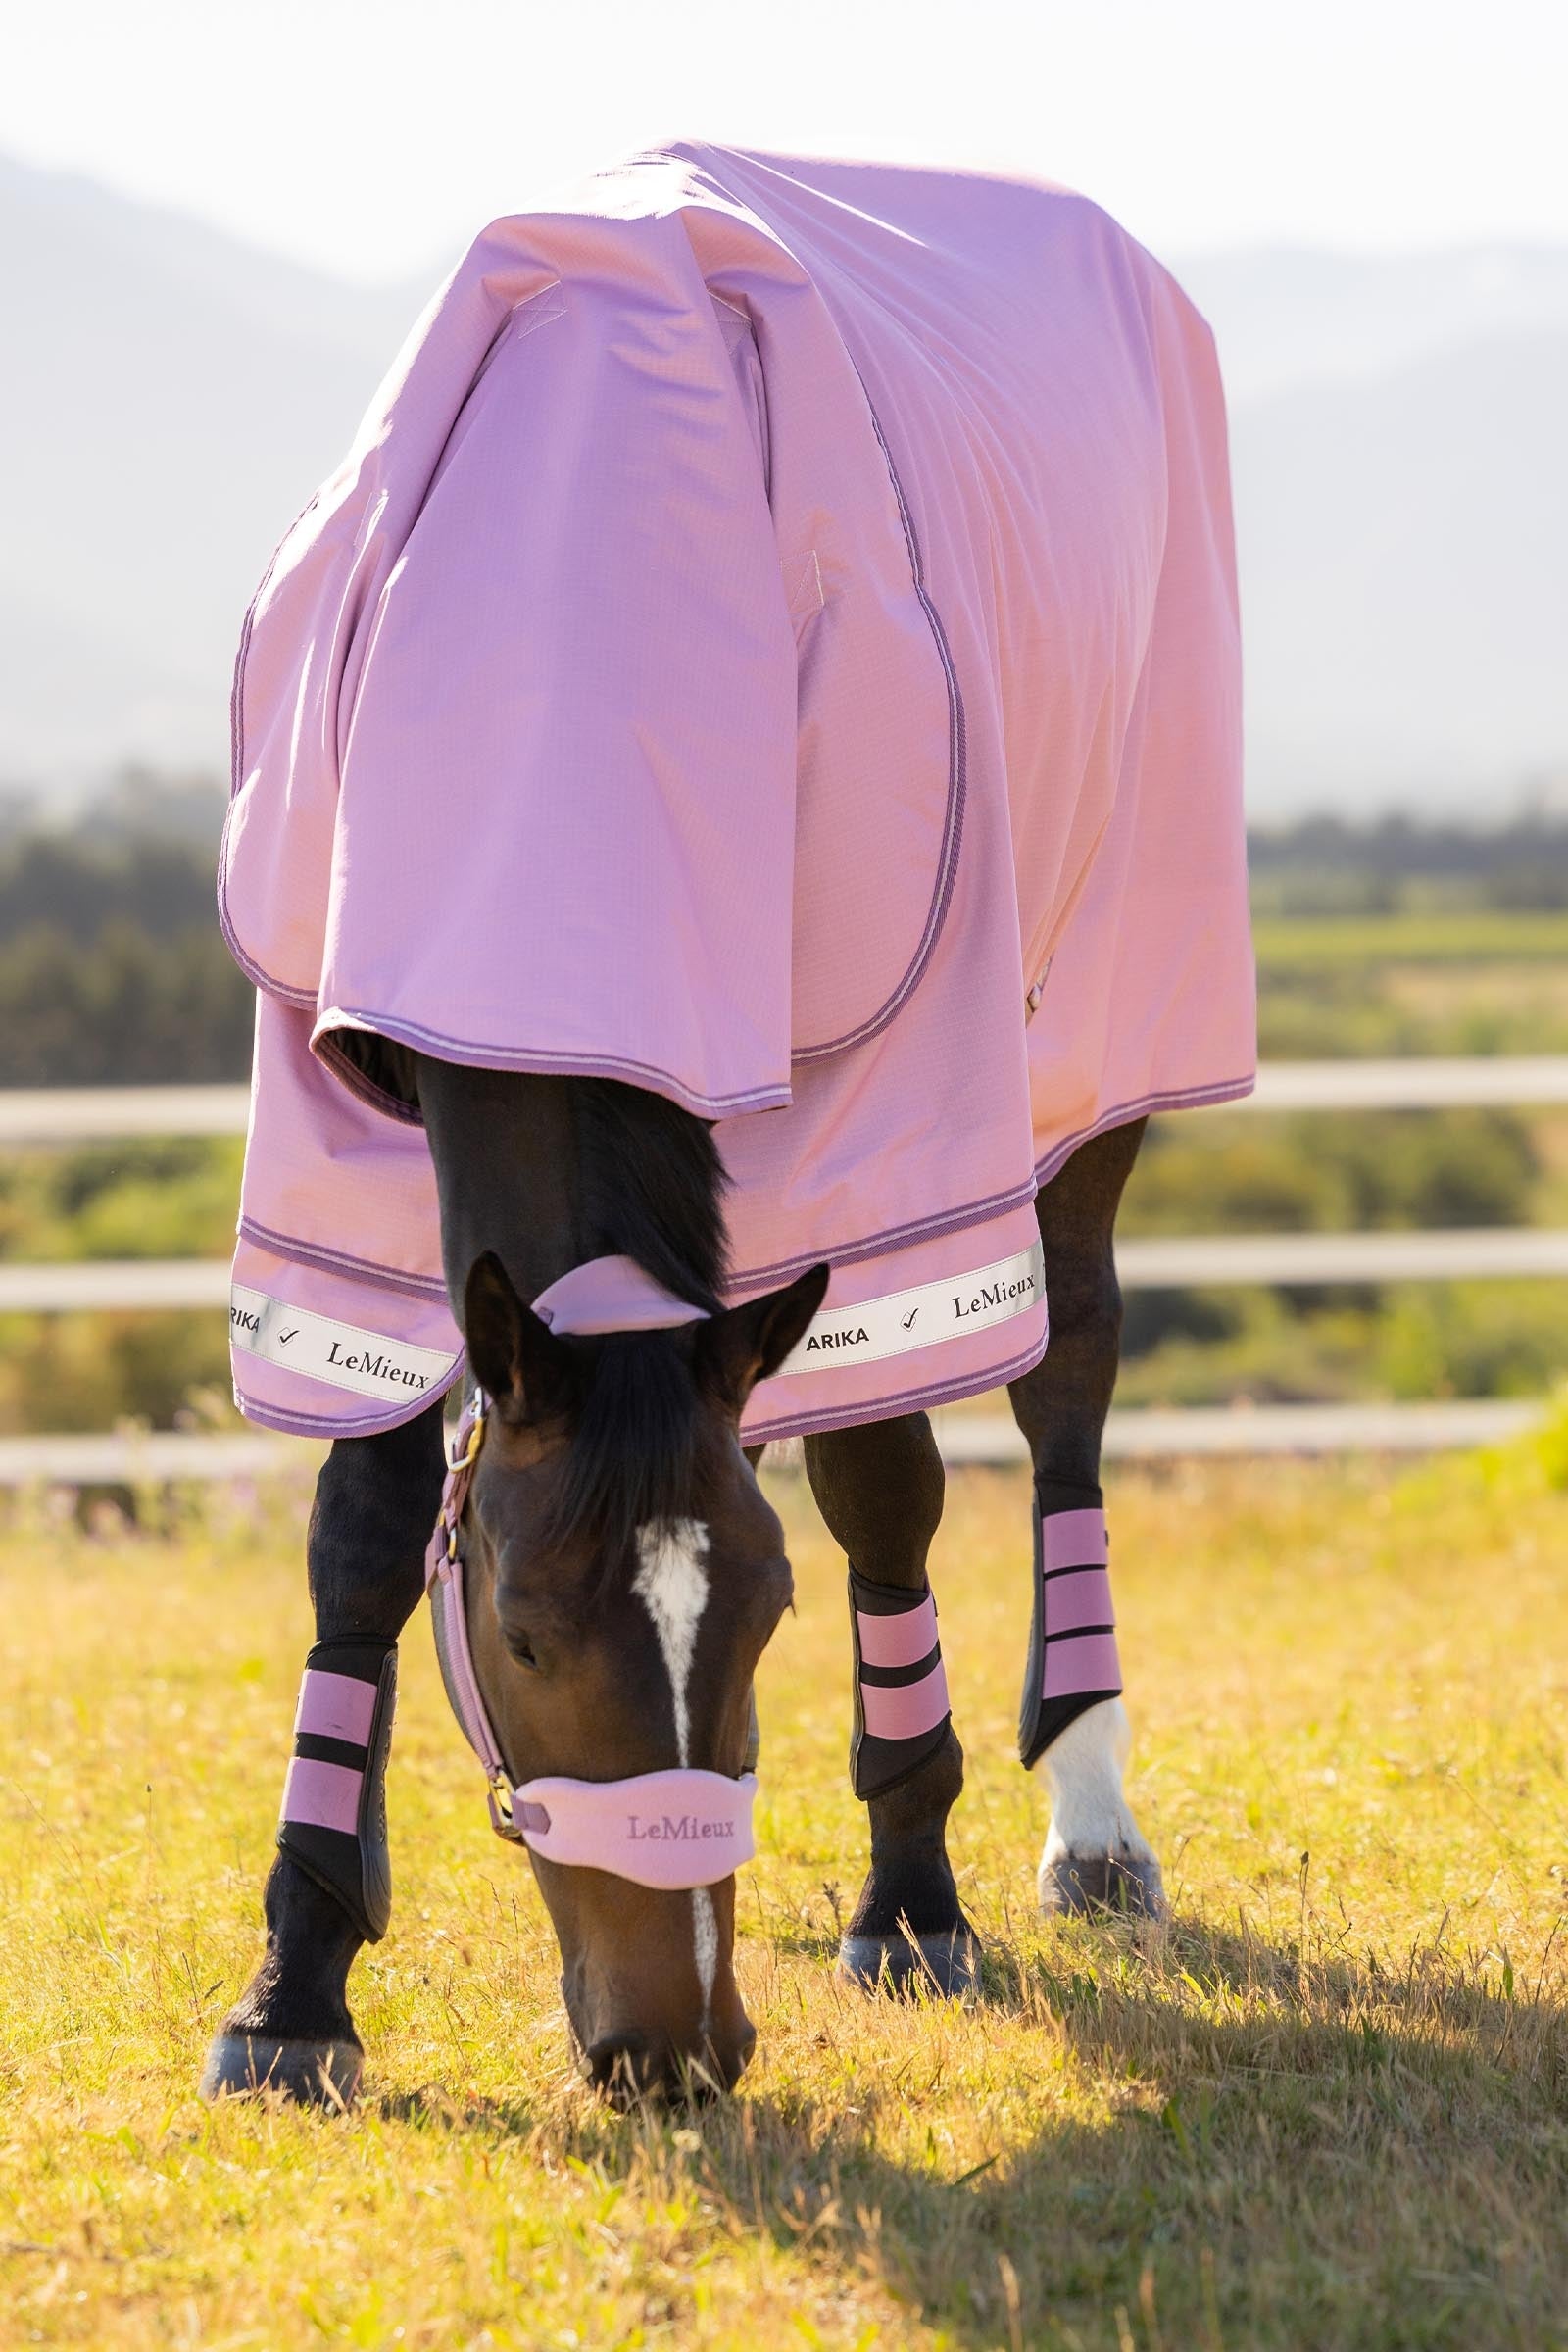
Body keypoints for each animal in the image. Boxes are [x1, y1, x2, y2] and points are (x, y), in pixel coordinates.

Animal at [202, 140, 1253, 2104]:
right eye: (522, 1632)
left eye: (760, 1618)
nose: (671, 2051)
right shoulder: (341, 1130)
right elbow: (363, 1523)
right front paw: (300, 1975)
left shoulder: (894, 1118)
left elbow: (884, 1485)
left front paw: (912, 1901)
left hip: (1098, 1040)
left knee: (1066, 1375)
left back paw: (1088, 1817)